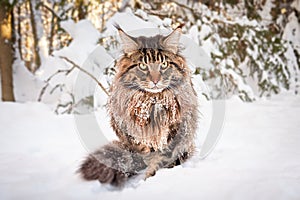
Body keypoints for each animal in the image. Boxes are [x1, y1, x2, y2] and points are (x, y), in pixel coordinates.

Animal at [78, 25, 198, 188]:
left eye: (164, 64)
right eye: (143, 66)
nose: (155, 80)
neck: (153, 101)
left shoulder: (177, 132)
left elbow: (163, 158)